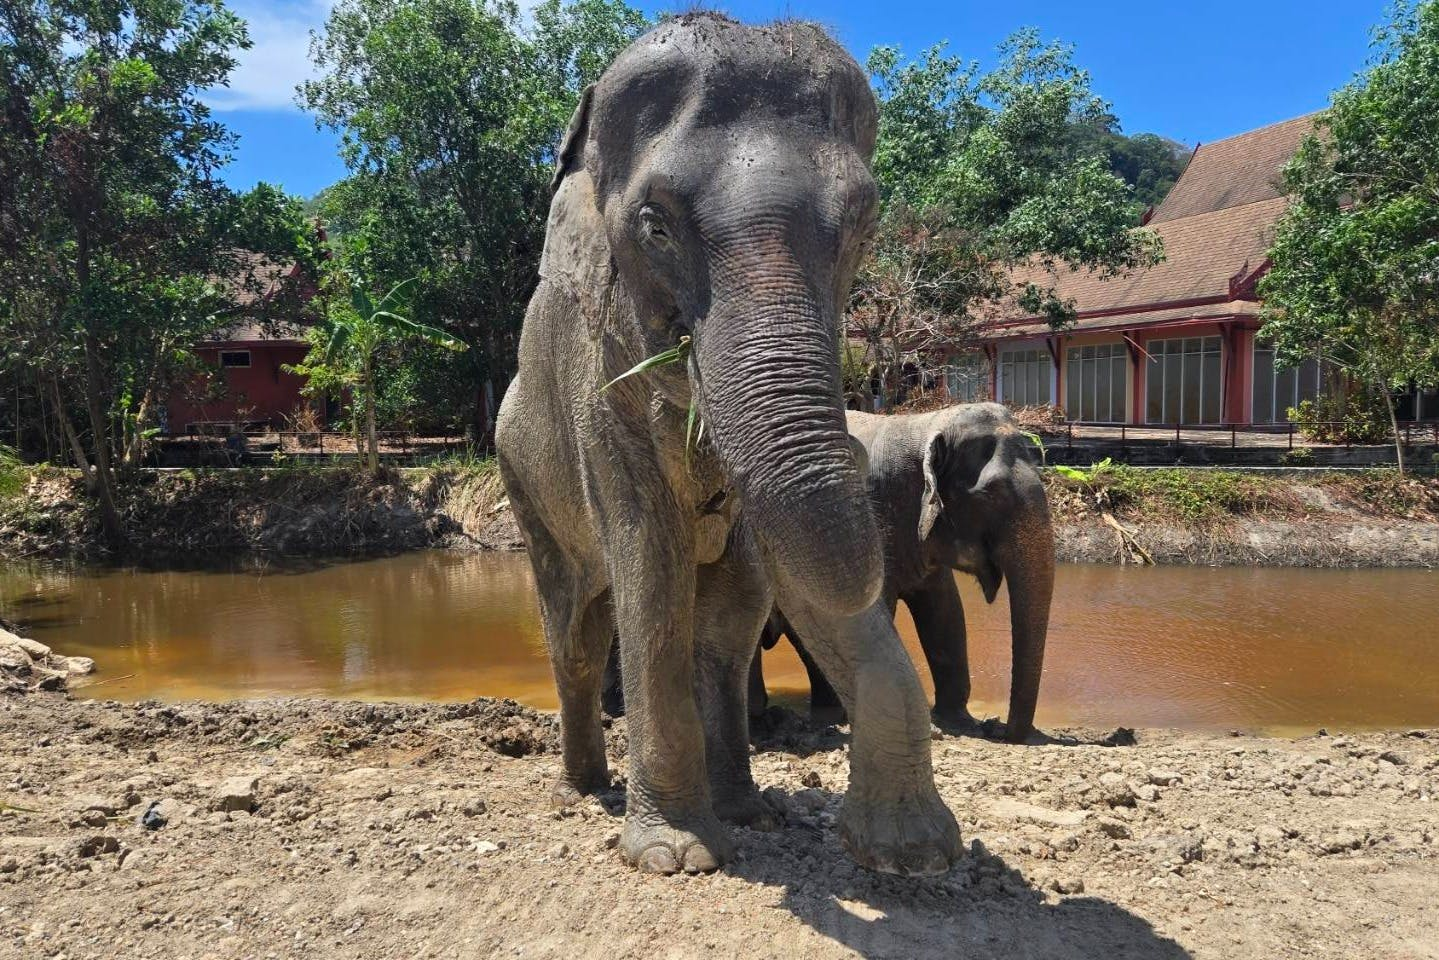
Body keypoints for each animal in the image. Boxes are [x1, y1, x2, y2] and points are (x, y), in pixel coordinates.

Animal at [495, 14, 961, 877]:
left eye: (862, 226)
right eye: (654, 227)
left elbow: (756, 587)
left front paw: (908, 853)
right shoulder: (599, 396)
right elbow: (652, 565)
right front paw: (674, 856)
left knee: (722, 624)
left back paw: (746, 809)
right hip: (523, 478)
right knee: (575, 633)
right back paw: (582, 791)